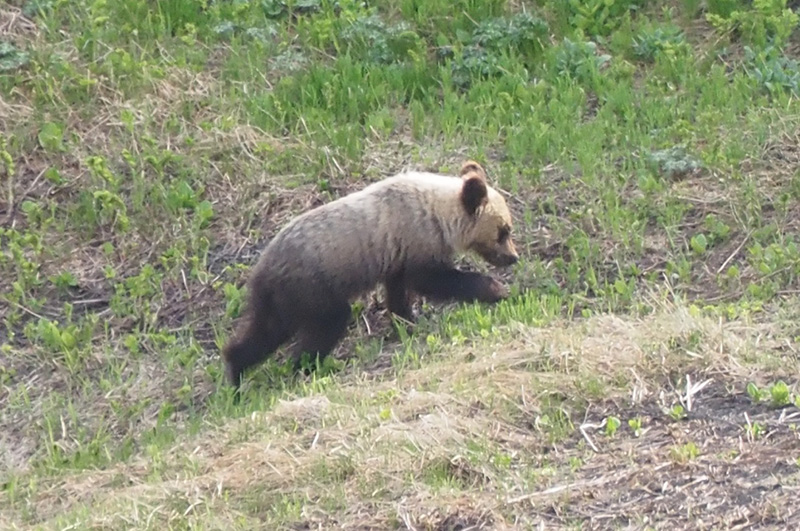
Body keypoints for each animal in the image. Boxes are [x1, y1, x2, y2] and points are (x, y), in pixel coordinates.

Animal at [222, 160, 520, 388]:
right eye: (503, 231)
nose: (513, 257)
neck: (440, 216)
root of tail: (262, 268)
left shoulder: (397, 254)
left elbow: (399, 291)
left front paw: (406, 321)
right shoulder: (416, 238)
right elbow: (432, 279)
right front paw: (496, 290)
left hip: (282, 297)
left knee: (265, 330)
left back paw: (237, 371)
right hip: (311, 286)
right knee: (326, 324)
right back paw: (302, 367)